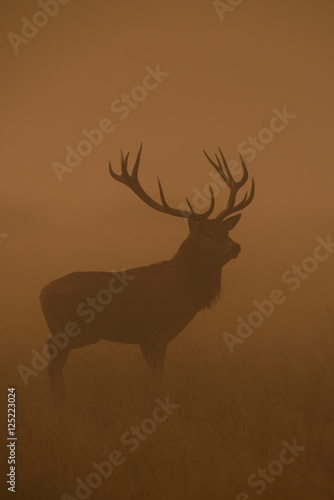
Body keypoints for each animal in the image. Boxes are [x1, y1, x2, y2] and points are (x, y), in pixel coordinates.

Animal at [40, 143, 256, 400]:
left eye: (226, 230)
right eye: (207, 234)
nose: (235, 246)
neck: (182, 292)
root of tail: (43, 293)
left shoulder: (150, 338)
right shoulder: (155, 333)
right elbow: (156, 378)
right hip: (69, 330)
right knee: (53, 366)